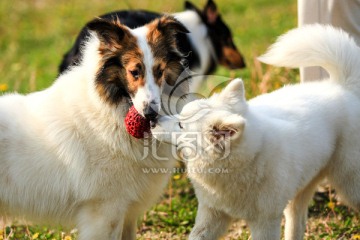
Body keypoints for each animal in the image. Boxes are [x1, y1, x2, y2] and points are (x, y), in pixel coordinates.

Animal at [0, 15, 188, 239]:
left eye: (160, 71)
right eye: (134, 72)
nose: (151, 114)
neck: (107, 110)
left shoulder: (127, 213)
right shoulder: (105, 211)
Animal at [150, 24, 360, 240]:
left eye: (181, 125)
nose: (152, 120)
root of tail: (341, 87)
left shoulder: (265, 222)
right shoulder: (212, 215)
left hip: (351, 185)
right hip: (300, 192)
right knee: (298, 221)